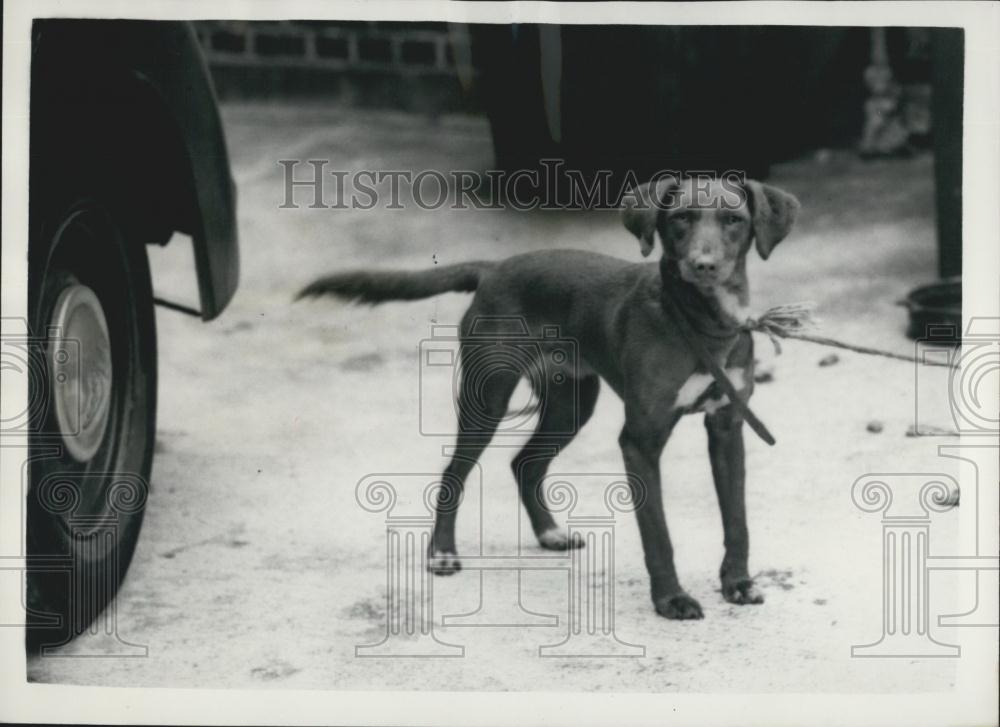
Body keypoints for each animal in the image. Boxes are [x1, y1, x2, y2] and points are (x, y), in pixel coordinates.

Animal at [300, 176, 800, 620]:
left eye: (733, 220)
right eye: (680, 218)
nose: (704, 265)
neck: (702, 323)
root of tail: (494, 269)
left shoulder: (728, 428)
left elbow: (737, 520)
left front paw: (738, 584)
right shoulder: (640, 440)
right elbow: (658, 534)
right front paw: (671, 600)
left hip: (570, 405)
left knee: (525, 463)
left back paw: (549, 533)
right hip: (488, 398)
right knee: (454, 472)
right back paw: (441, 552)